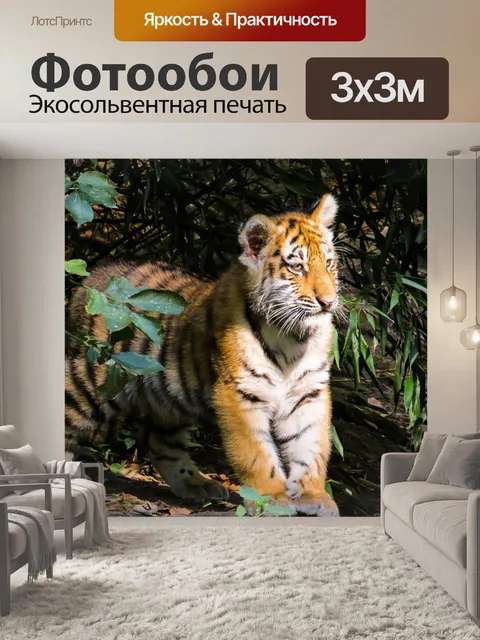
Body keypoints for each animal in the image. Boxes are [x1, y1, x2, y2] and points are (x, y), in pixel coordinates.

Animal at [65, 194, 341, 516]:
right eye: (297, 267)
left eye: (330, 263)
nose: (329, 302)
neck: (293, 337)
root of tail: (91, 279)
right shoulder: (239, 392)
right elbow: (255, 452)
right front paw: (271, 497)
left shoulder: (308, 392)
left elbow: (310, 446)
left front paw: (313, 496)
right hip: (92, 380)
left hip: (170, 399)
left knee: (158, 442)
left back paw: (196, 485)